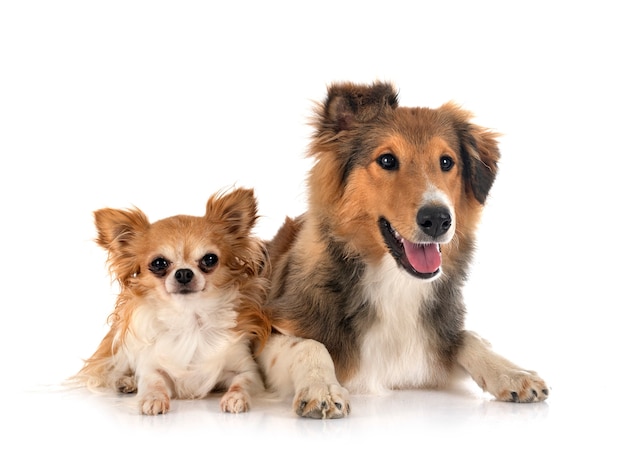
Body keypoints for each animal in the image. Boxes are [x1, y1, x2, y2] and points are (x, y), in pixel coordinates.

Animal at [256, 81, 548, 418]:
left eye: (446, 162)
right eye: (386, 160)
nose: (437, 219)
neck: (395, 283)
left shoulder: (433, 340)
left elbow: (467, 337)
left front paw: (512, 373)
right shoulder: (265, 331)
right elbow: (309, 344)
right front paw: (322, 388)